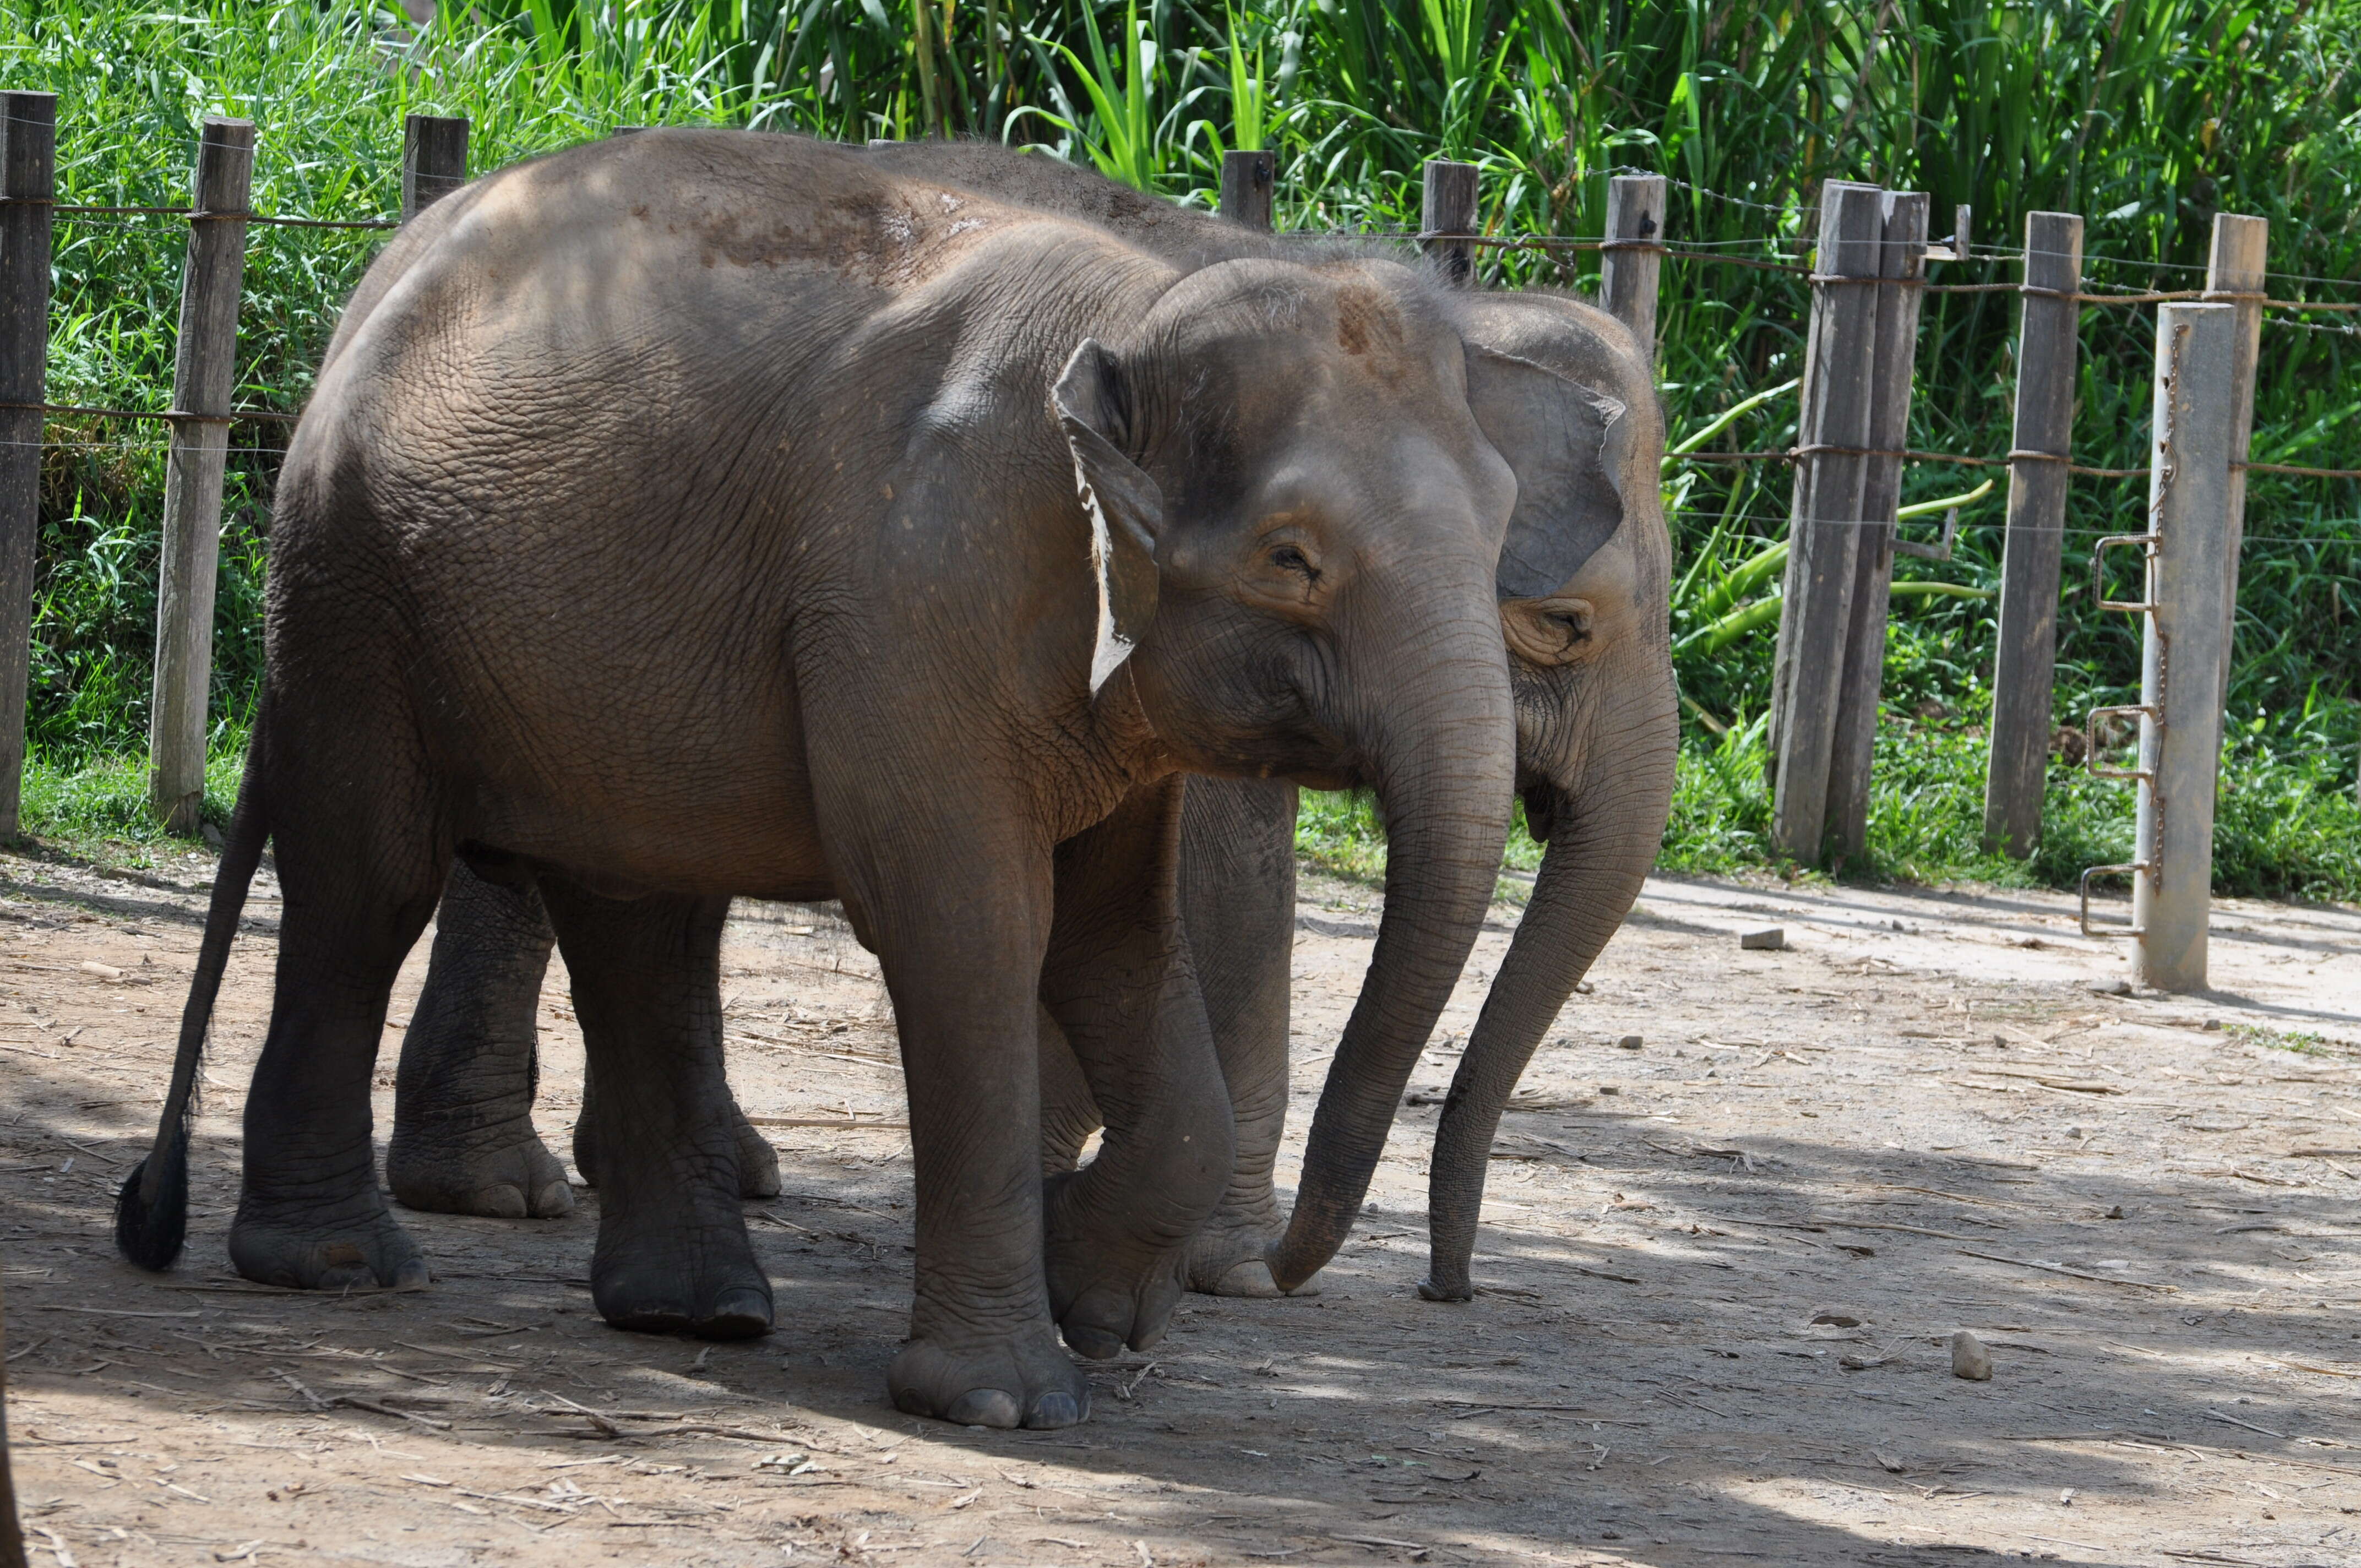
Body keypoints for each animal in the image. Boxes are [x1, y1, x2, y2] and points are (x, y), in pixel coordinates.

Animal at [115, 132, 1548, 1435]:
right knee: (370, 878)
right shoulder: (906, 590)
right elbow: (967, 925)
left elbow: (1116, 943)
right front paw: (1004, 1398)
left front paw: (1089, 1296)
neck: (1136, 304)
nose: (1427, 1289)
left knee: (637, 908)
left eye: (1499, 521)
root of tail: (381, 270)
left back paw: (691, 1309)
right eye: (1290, 556)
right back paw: (338, 1266)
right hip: (357, 586)